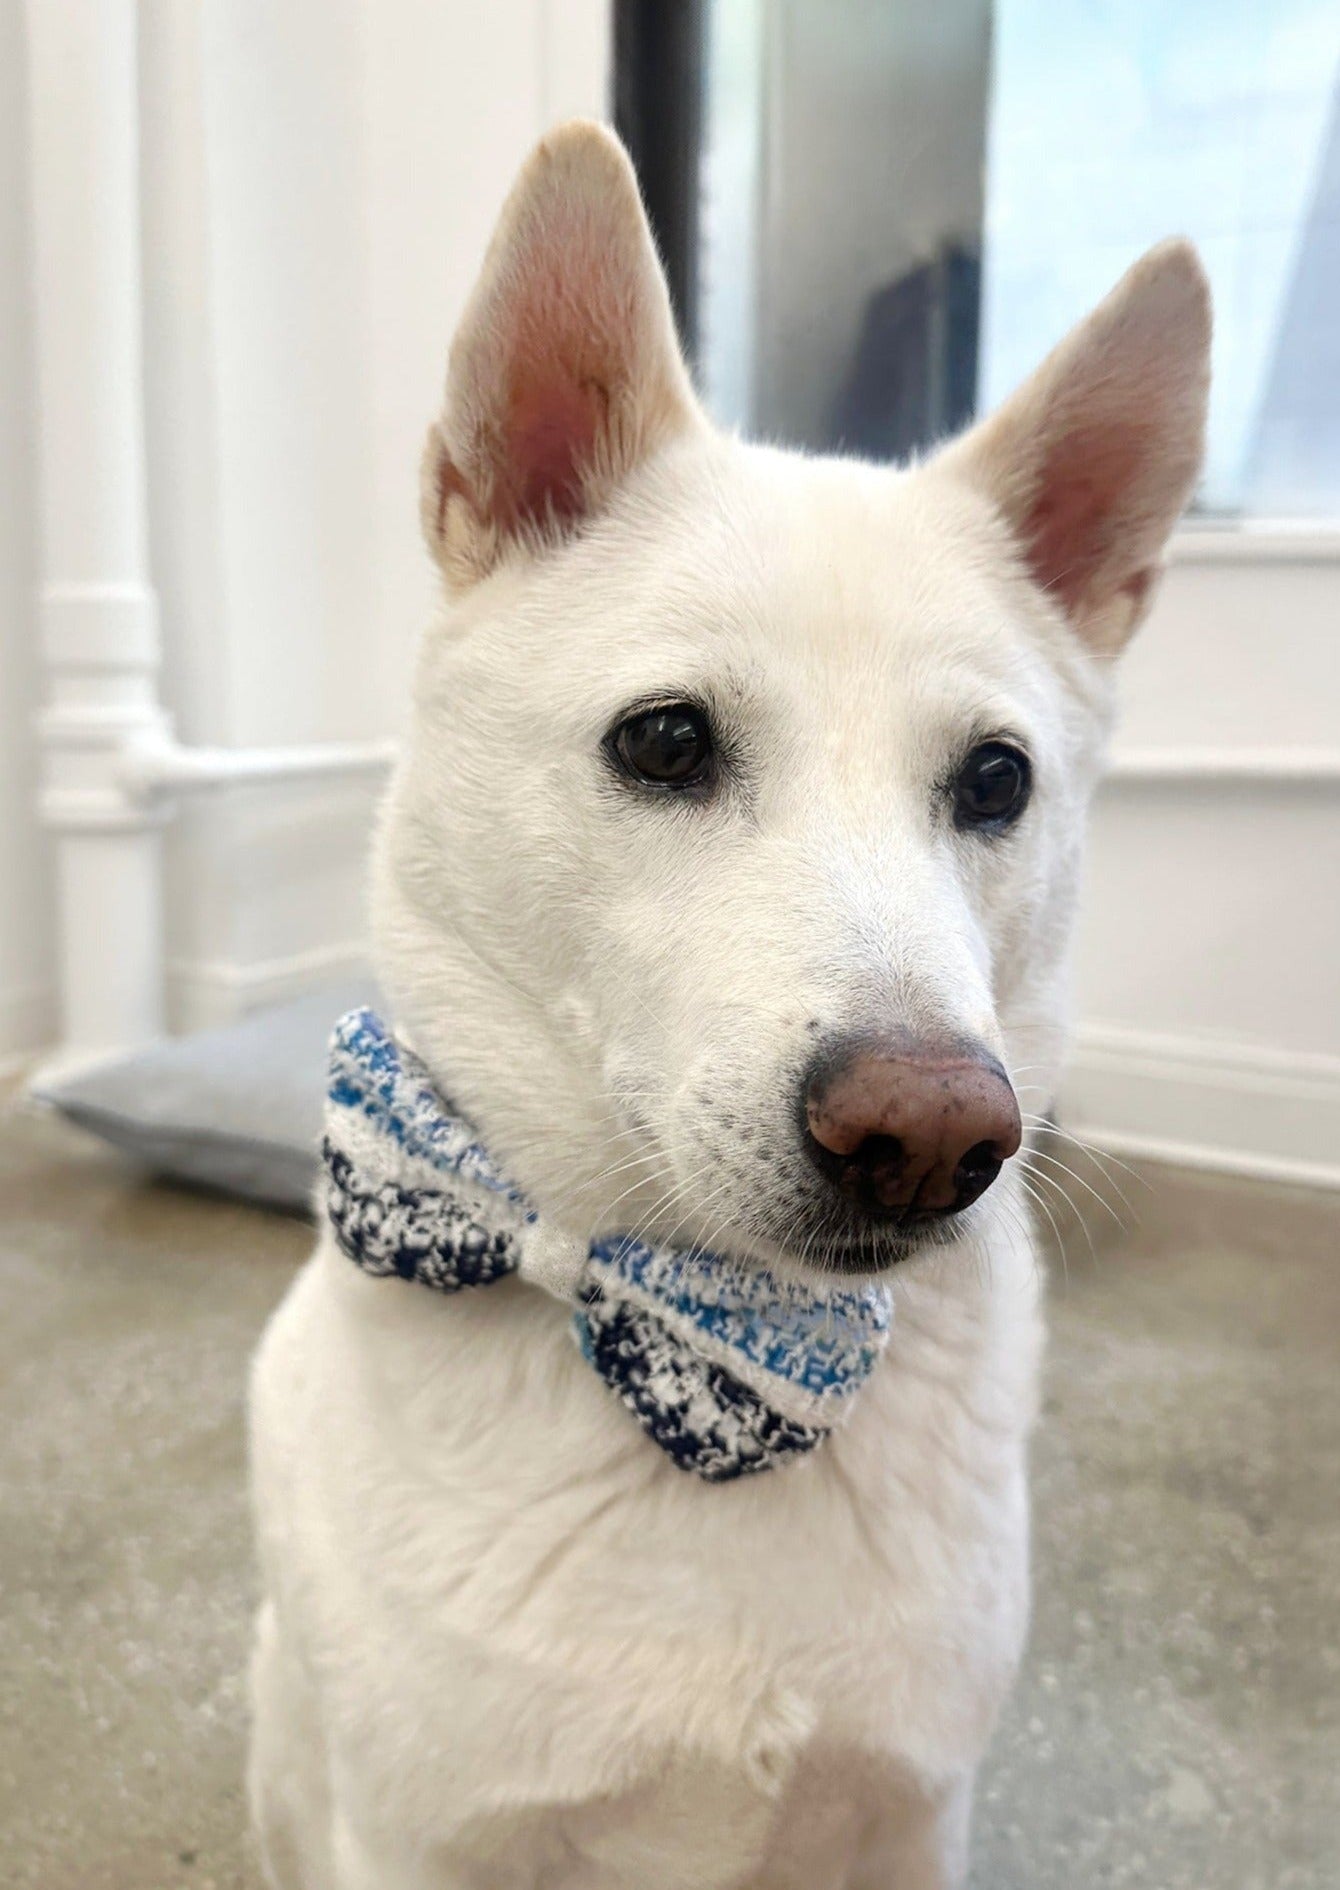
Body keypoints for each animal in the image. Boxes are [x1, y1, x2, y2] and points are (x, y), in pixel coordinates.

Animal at [245, 121, 1209, 1890]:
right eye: (666, 740)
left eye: (996, 780)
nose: (933, 1134)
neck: (702, 1322)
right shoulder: (414, 1841)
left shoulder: (912, 1819)